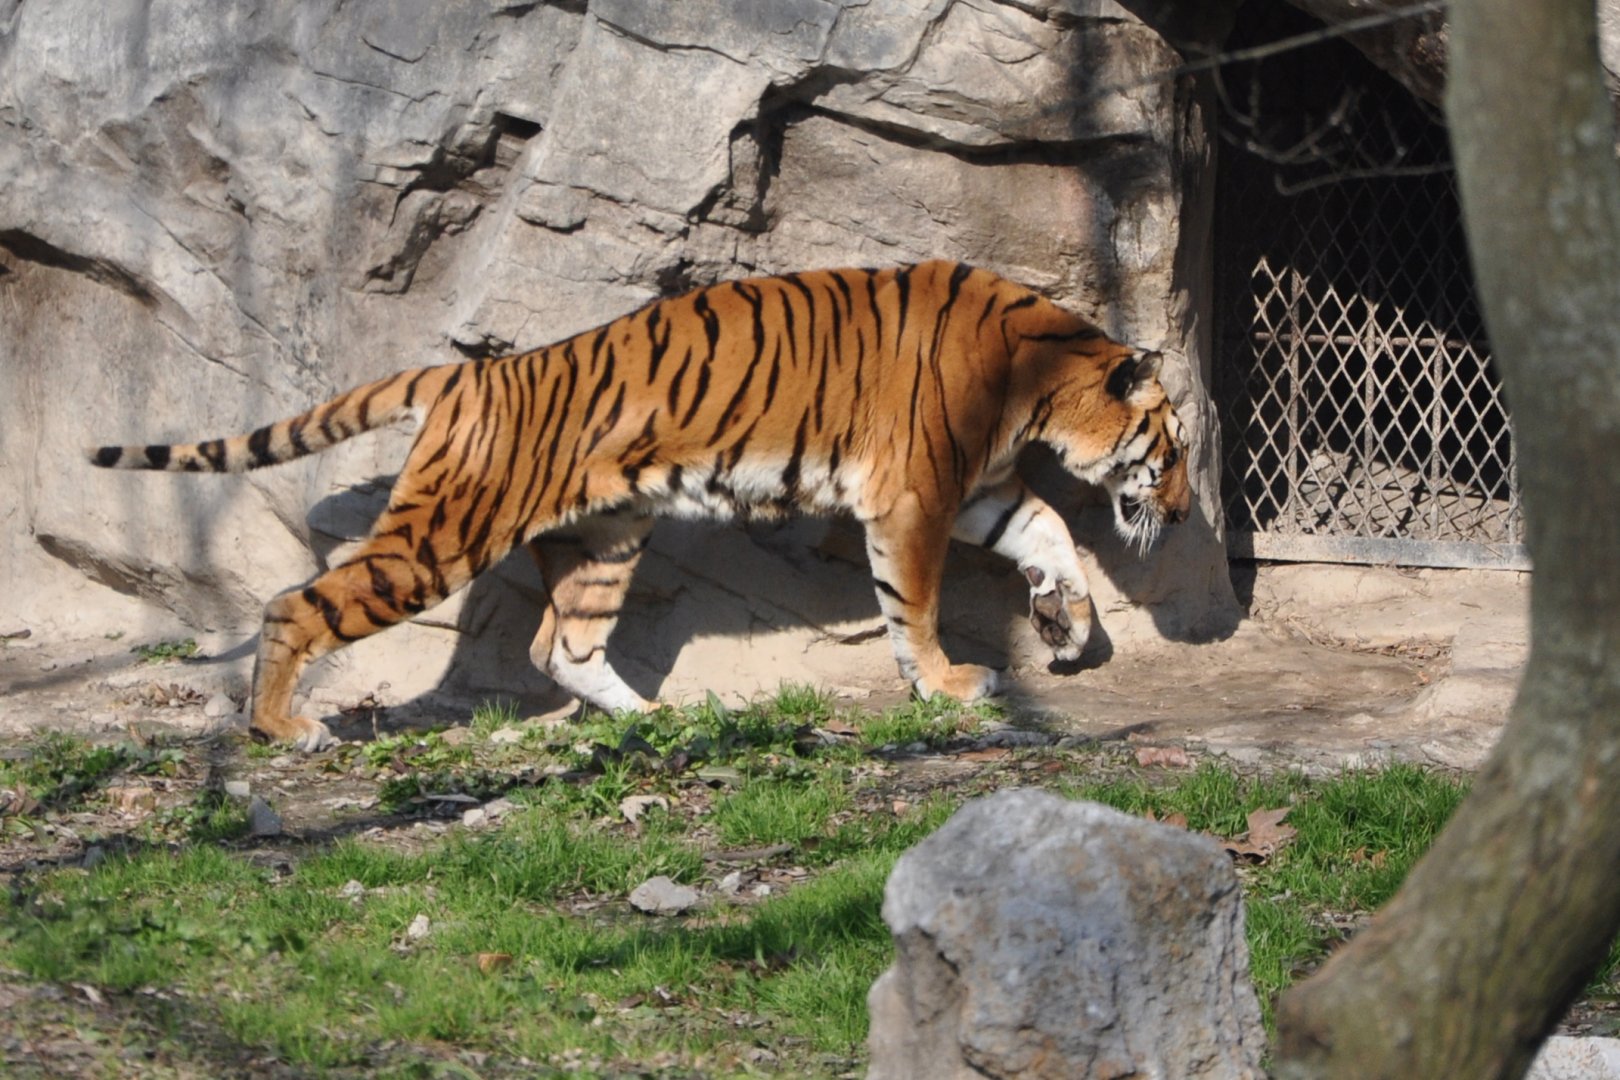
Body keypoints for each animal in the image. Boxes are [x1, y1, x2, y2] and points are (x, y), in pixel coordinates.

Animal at [90, 260, 1191, 751]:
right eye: (1175, 451)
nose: (1184, 516)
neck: (1042, 380)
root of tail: (468, 375)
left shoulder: (978, 488)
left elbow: (1050, 531)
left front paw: (1067, 624)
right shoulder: (917, 495)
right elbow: (913, 603)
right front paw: (955, 684)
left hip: (612, 534)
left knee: (562, 648)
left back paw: (662, 717)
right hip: (443, 538)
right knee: (298, 604)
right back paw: (284, 727)